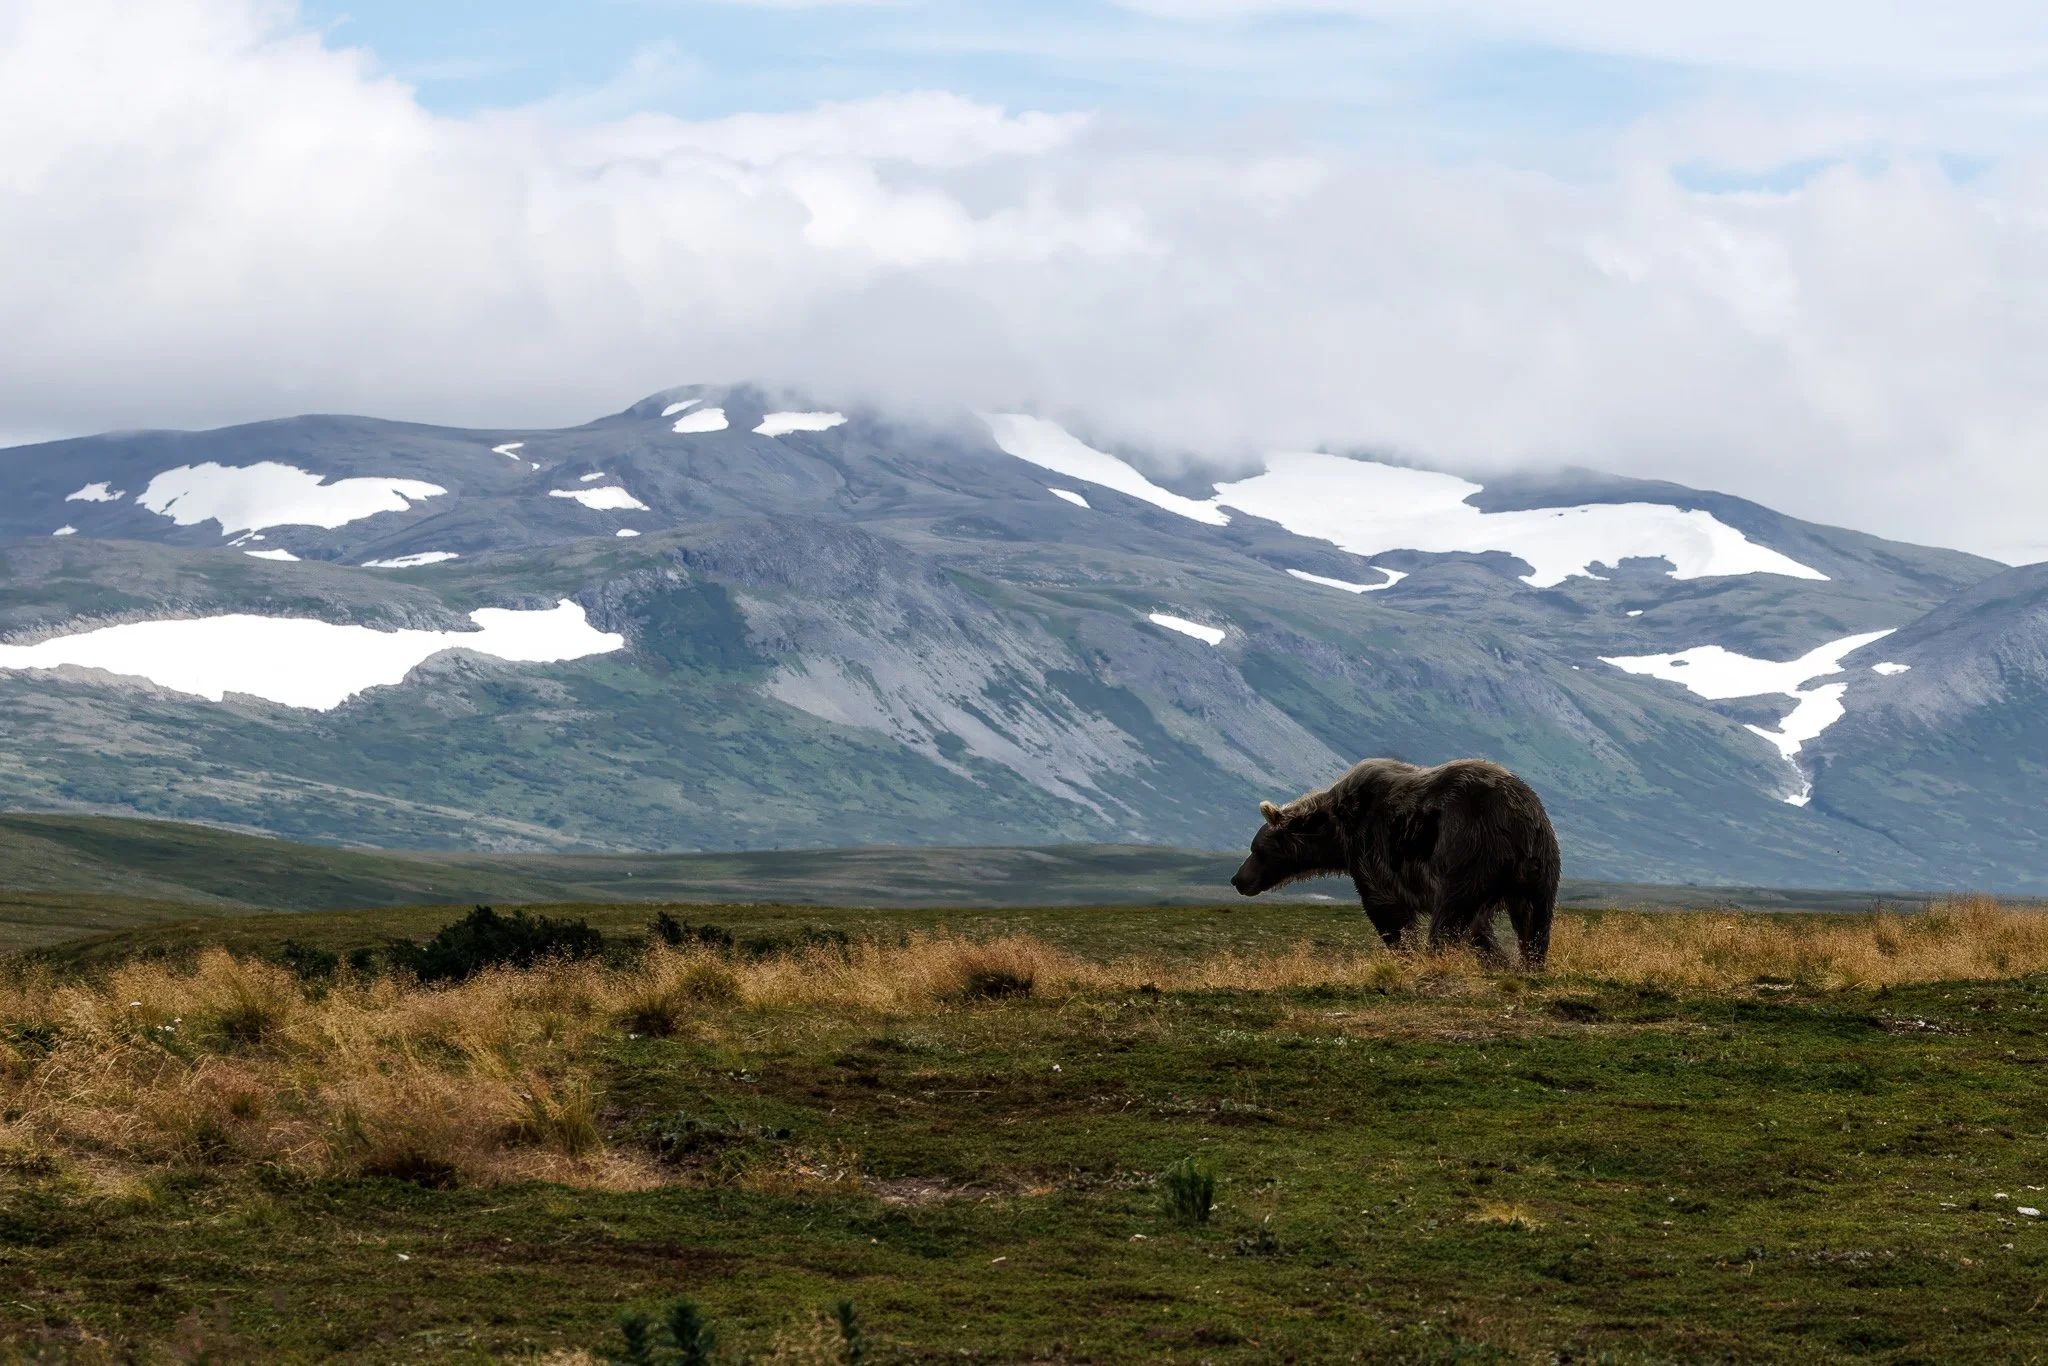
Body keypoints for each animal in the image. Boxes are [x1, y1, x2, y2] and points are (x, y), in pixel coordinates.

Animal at [1230, 757, 1561, 969]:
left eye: (1257, 850)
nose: (1237, 879)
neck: (1338, 832)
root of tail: (1519, 820)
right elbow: (1481, 930)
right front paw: (1497, 960)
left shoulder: (1374, 851)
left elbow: (1387, 911)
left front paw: (1408, 955)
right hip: (1541, 863)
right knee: (1535, 919)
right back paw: (1532, 963)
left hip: (1470, 848)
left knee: (1451, 912)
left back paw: (1436, 956)